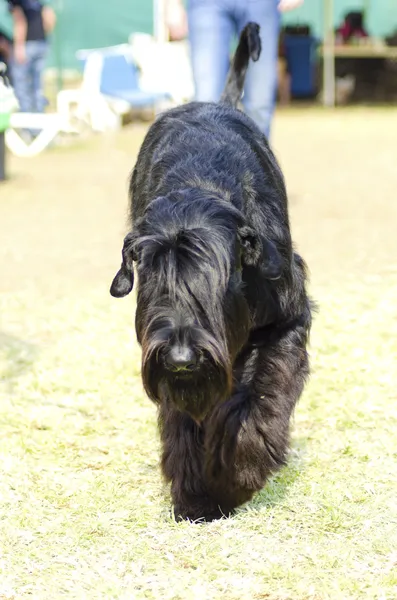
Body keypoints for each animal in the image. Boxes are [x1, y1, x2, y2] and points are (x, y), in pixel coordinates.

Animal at [110, 23, 310, 520]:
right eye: (151, 277)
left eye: (216, 282)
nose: (181, 358)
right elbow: (180, 418)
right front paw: (196, 491)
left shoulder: (287, 320)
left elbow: (261, 392)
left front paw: (238, 473)